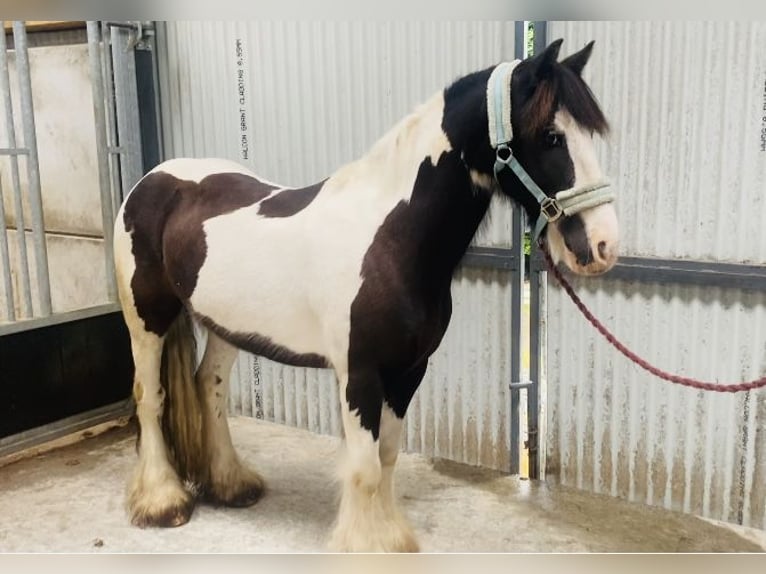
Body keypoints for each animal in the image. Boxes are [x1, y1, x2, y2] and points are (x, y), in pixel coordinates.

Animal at [112, 39, 616, 552]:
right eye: (551, 136)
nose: (602, 245)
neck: (390, 238)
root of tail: (154, 178)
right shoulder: (359, 375)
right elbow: (366, 467)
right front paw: (368, 547)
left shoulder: (409, 371)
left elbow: (387, 456)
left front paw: (390, 538)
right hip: (146, 317)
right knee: (150, 398)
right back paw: (162, 502)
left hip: (225, 325)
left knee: (208, 386)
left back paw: (231, 484)